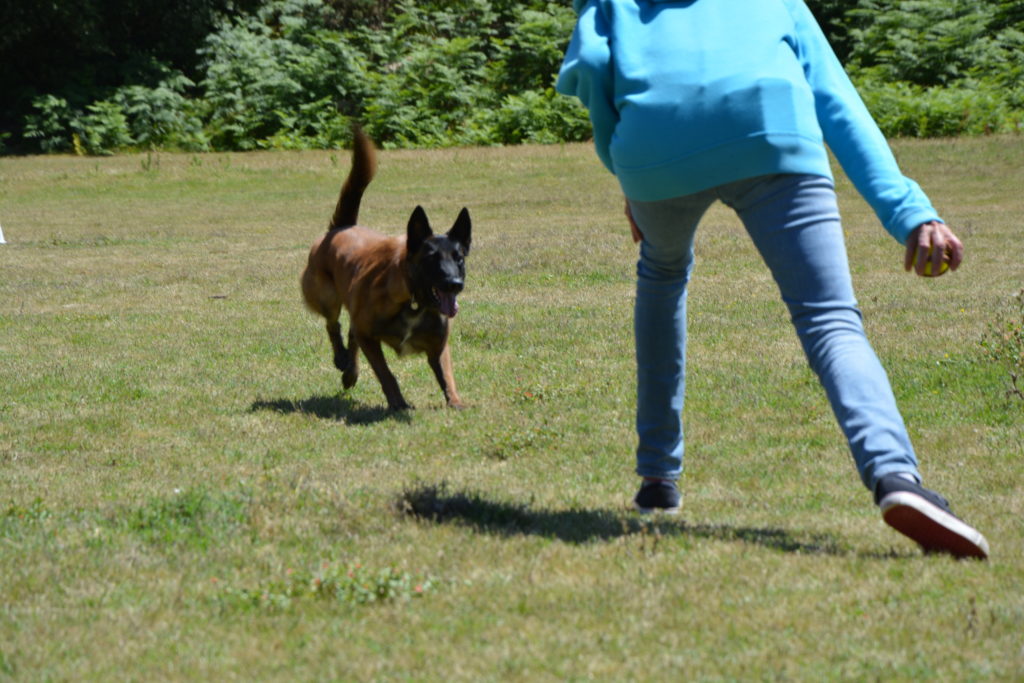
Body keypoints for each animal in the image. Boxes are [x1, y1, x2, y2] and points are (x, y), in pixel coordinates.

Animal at [299, 125, 468, 409]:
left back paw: (350, 373)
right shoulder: (369, 336)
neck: (413, 301)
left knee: (349, 334)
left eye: (459, 258)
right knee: (334, 325)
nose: (455, 284)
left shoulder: (438, 347)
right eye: (431, 258)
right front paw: (398, 402)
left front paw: (455, 401)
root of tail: (343, 227)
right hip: (326, 297)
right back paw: (342, 359)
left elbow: (446, 376)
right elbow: (386, 373)